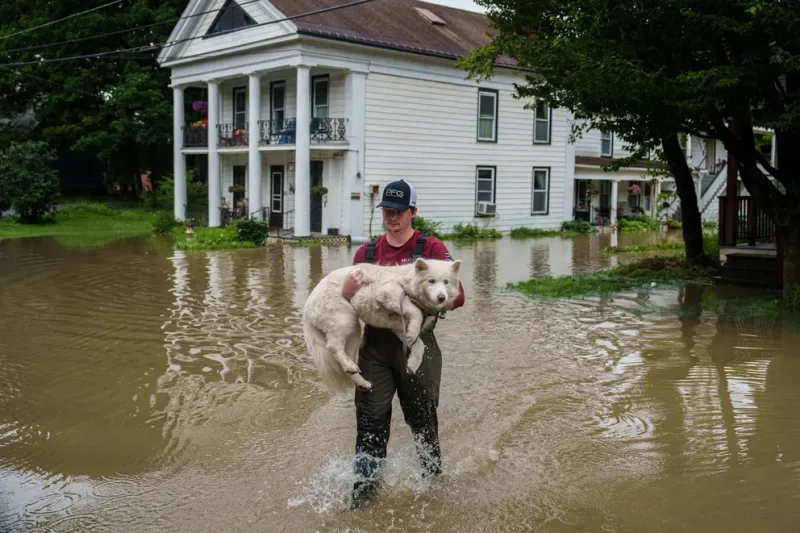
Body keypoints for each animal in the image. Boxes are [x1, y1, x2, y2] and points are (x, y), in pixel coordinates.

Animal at [300, 256, 462, 392]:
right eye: (431, 281)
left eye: (446, 282)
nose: (441, 298)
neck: (408, 283)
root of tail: (307, 305)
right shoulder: (388, 293)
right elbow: (415, 311)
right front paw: (414, 331)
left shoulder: (398, 328)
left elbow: (419, 346)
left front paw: (412, 364)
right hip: (345, 320)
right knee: (333, 346)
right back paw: (350, 366)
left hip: (353, 333)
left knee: (346, 356)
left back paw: (361, 380)